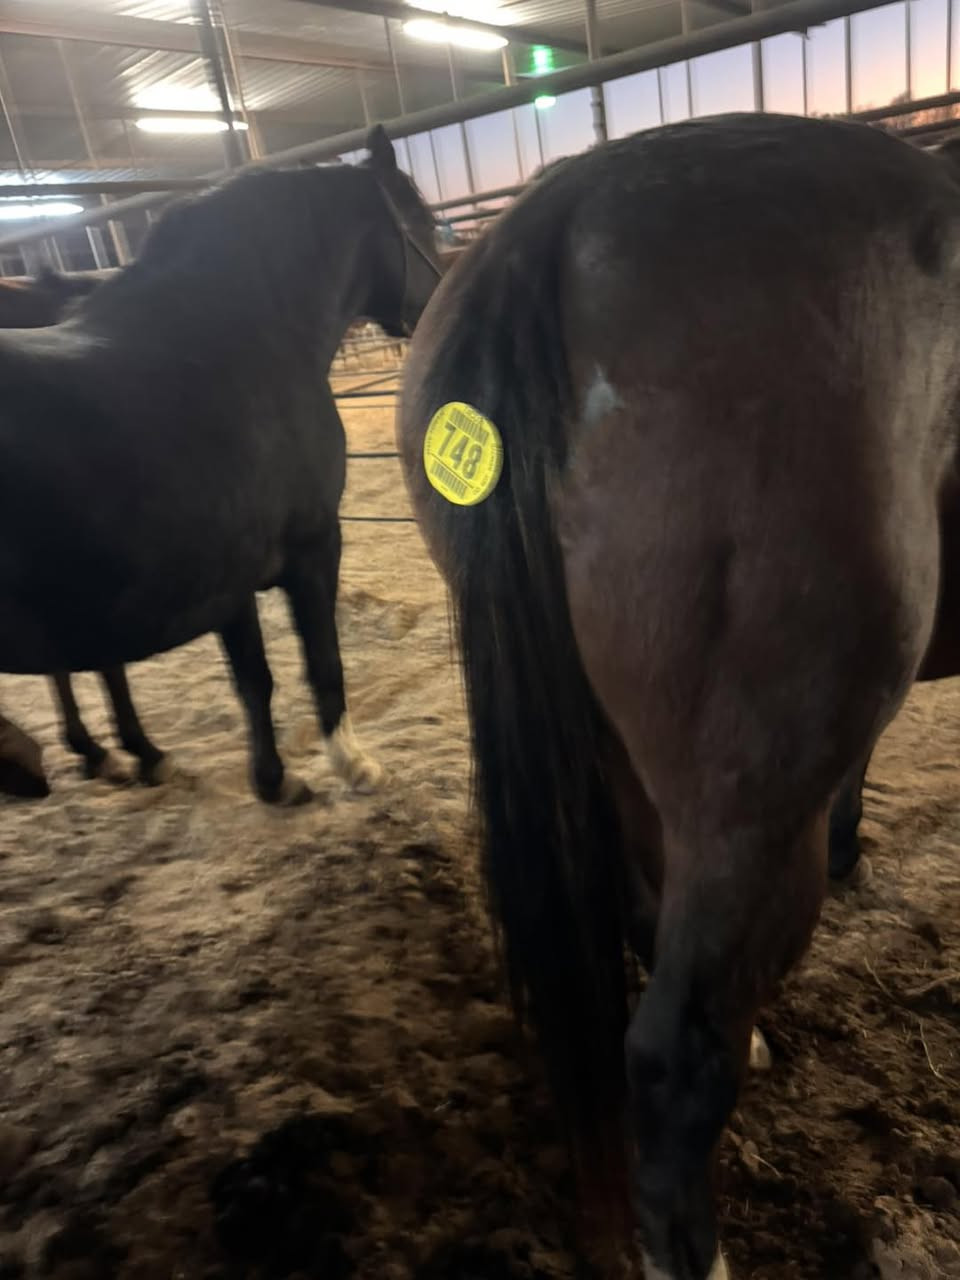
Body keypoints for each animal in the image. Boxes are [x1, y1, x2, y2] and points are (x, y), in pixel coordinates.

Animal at [0, 124, 439, 804]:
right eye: (422, 219)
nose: (445, 302)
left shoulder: (227, 572)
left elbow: (253, 678)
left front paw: (275, 782)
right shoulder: (315, 546)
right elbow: (323, 662)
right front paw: (356, 766)